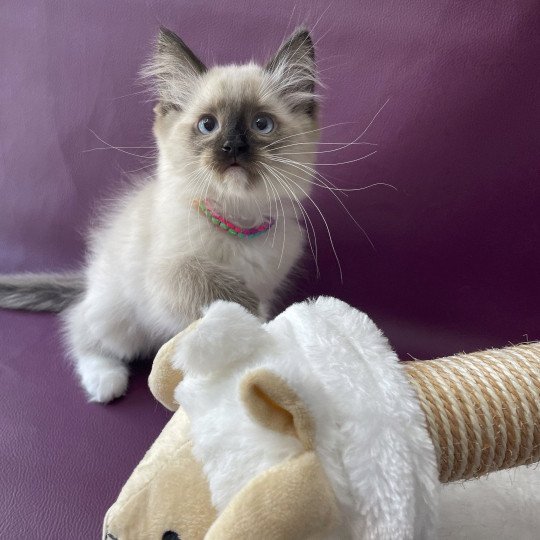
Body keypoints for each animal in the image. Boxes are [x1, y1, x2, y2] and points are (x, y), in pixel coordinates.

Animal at [0, 27, 318, 402]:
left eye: (262, 124)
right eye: (208, 125)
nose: (233, 147)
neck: (238, 224)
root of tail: (88, 281)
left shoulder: (267, 281)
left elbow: (257, 307)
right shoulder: (168, 273)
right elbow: (219, 290)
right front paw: (251, 328)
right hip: (117, 320)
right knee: (80, 328)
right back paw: (105, 381)